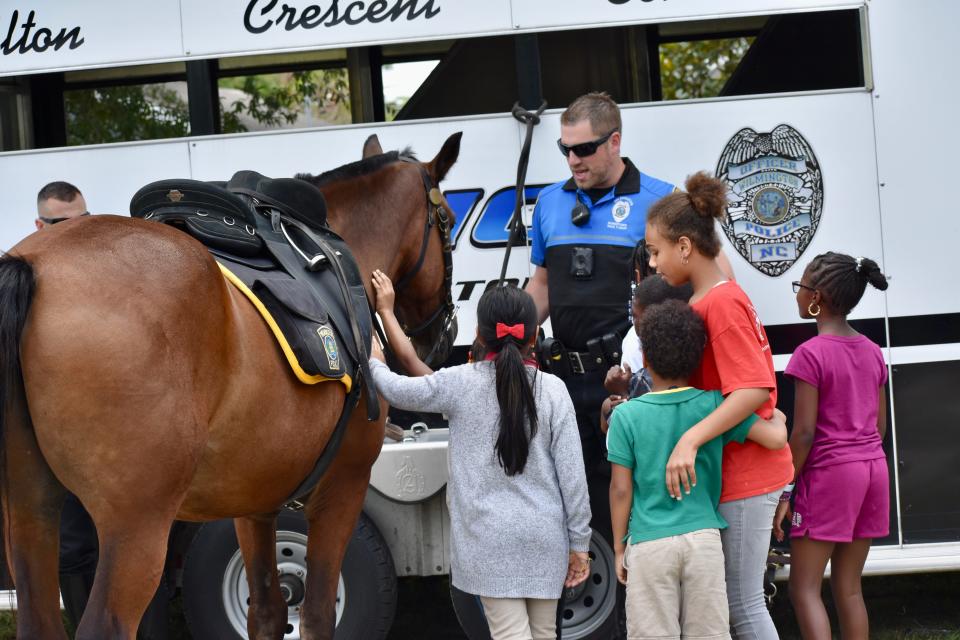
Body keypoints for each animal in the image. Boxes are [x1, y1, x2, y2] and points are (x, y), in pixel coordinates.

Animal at [0, 132, 462, 636]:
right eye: (448, 219)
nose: (447, 333)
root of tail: (34, 266)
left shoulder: (254, 500)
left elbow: (268, 610)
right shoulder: (344, 484)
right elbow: (317, 615)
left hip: (29, 512)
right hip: (135, 526)